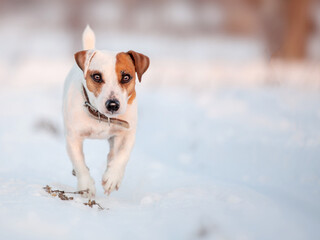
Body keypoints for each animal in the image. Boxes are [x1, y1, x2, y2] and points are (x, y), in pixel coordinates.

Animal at [62, 25, 150, 198]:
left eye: (126, 77)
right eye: (97, 76)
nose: (113, 105)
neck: (101, 117)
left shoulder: (127, 133)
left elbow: (122, 155)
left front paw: (113, 177)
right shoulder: (73, 137)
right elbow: (79, 162)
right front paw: (86, 186)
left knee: (112, 155)